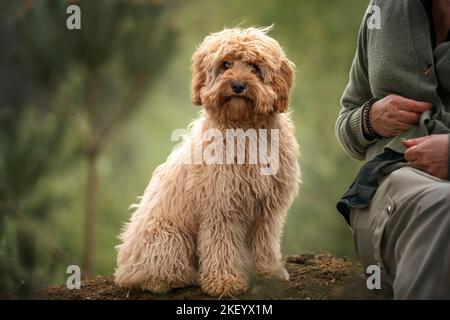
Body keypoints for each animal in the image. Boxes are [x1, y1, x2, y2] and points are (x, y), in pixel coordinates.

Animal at [114, 26, 300, 298]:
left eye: (254, 66)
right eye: (226, 64)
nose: (237, 85)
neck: (244, 130)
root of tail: (124, 266)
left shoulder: (267, 209)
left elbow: (264, 241)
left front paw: (269, 272)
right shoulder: (221, 206)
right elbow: (221, 245)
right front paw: (225, 282)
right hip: (167, 237)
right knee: (155, 273)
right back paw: (180, 278)